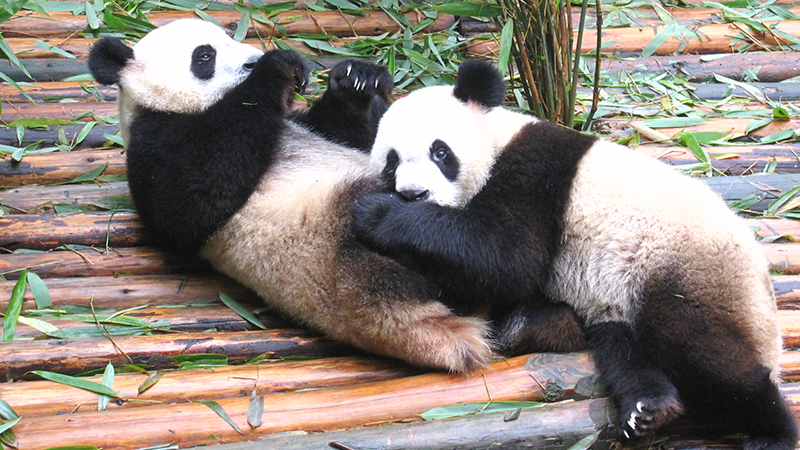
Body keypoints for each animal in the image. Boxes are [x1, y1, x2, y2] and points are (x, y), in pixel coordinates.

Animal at [87, 19, 493, 373]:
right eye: (204, 56)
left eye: (230, 35)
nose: (251, 60)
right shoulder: (154, 142)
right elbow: (192, 202)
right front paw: (275, 68)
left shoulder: (300, 123)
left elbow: (347, 132)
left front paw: (357, 80)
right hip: (367, 249)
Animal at [352, 60, 798, 448]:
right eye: (391, 163)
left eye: (440, 153)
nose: (414, 194)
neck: (497, 139)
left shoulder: (536, 173)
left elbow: (507, 257)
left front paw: (378, 213)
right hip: (619, 299)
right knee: (624, 348)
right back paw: (648, 408)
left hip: (683, 269)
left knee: (702, 348)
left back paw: (772, 429)